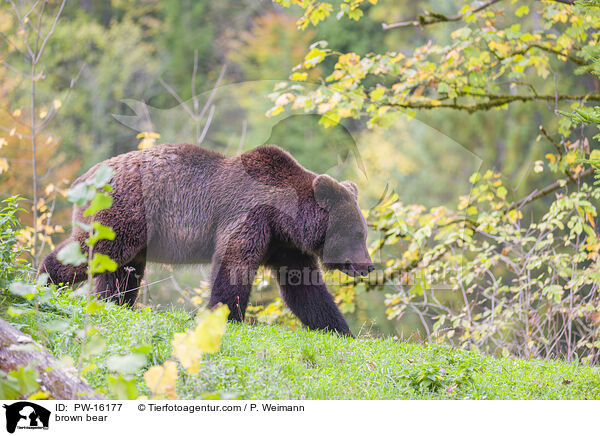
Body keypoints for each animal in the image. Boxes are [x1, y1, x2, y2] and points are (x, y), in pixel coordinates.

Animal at [38, 145, 370, 336]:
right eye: (357, 233)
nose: (368, 265)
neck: (285, 216)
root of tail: (84, 177)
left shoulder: (283, 243)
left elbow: (304, 287)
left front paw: (338, 328)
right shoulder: (249, 217)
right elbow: (233, 267)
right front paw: (225, 316)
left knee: (121, 271)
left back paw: (110, 301)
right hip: (125, 213)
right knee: (98, 255)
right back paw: (50, 279)